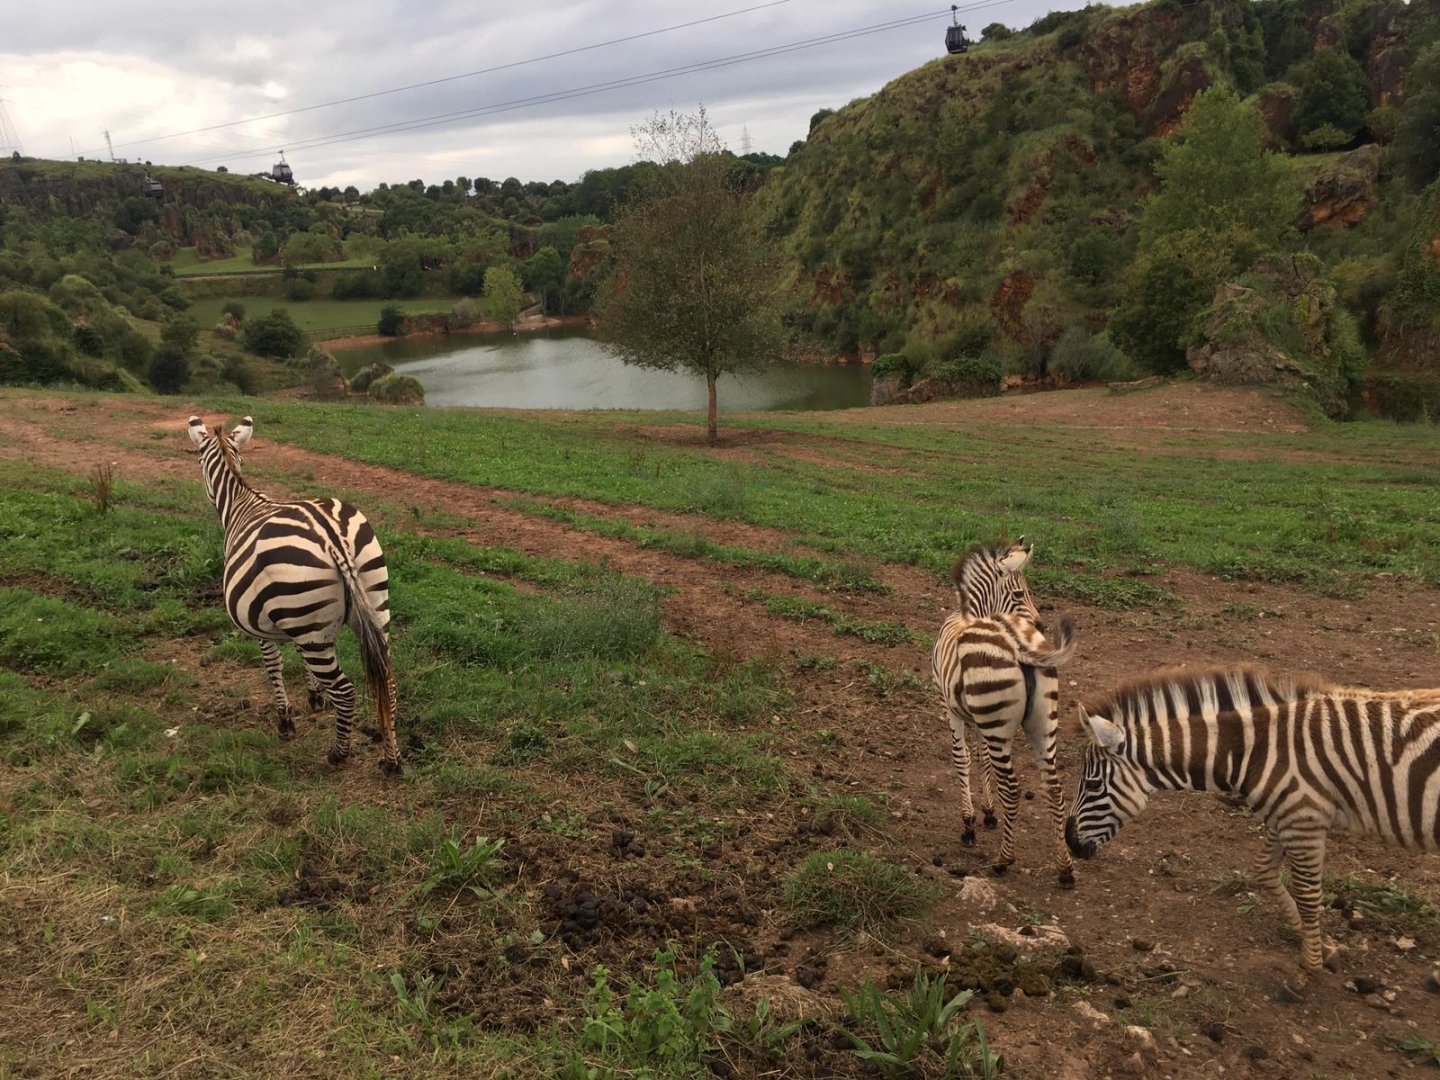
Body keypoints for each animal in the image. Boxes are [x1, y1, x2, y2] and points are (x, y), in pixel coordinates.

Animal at [187, 416, 402, 775]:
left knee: (346, 691)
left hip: (308, 616)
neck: (242, 502)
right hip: (371, 604)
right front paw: (315, 697)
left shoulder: (261, 625)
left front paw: (285, 721)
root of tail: (332, 535)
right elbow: (307, 668)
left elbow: (274, 666)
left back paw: (338, 754)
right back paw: (392, 760)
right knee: (388, 681)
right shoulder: (309, 628)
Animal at [932, 539, 1078, 886]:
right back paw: (1065, 868)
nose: (1040, 625)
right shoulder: (979, 719)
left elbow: (962, 759)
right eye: (1020, 594)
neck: (973, 614)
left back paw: (1003, 860)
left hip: (997, 723)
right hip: (1041, 725)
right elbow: (982, 759)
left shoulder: (950, 708)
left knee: (1012, 789)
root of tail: (1016, 642)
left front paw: (969, 822)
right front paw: (988, 812)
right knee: (1054, 786)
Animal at [1065, 664, 1440, 996]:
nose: (1070, 843)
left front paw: (1306, 971)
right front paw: (1320, 946)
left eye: (1093, 784)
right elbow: (1264, 871)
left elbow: (1308, 896)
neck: (1251, 750)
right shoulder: (1286, 816)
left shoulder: (1303, 819)